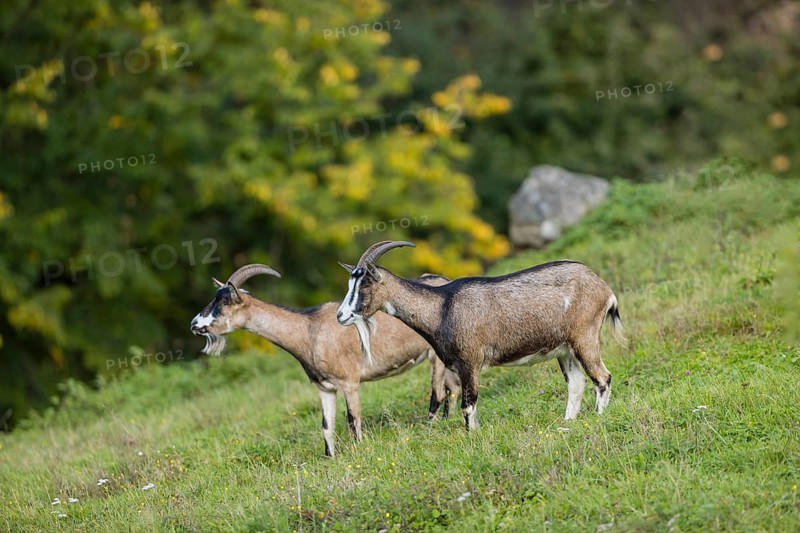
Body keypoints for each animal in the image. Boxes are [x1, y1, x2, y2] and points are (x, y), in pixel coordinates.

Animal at [190, 264, 459, 456]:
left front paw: (359, 451)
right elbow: (326, 427)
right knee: (452, 388)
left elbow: (352, 419)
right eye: (214, 297)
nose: (194, 324)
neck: (310, 330)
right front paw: (331, 458)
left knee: (438, 393)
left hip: (435, 356)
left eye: (225, 301)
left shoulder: (350, 382)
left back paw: (431, 428)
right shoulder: (324, 387)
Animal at [336, 241, 625, 431]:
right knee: (577, 383)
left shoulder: (470, 362)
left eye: (365, 284)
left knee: (602, 378)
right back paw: (567, 422)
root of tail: (603, 287)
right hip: (564, 349)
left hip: (584, 336)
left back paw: (598, 417)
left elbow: (468, 405)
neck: (442, 307)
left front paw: (471, 438)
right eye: (350, 283)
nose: (341, 316)